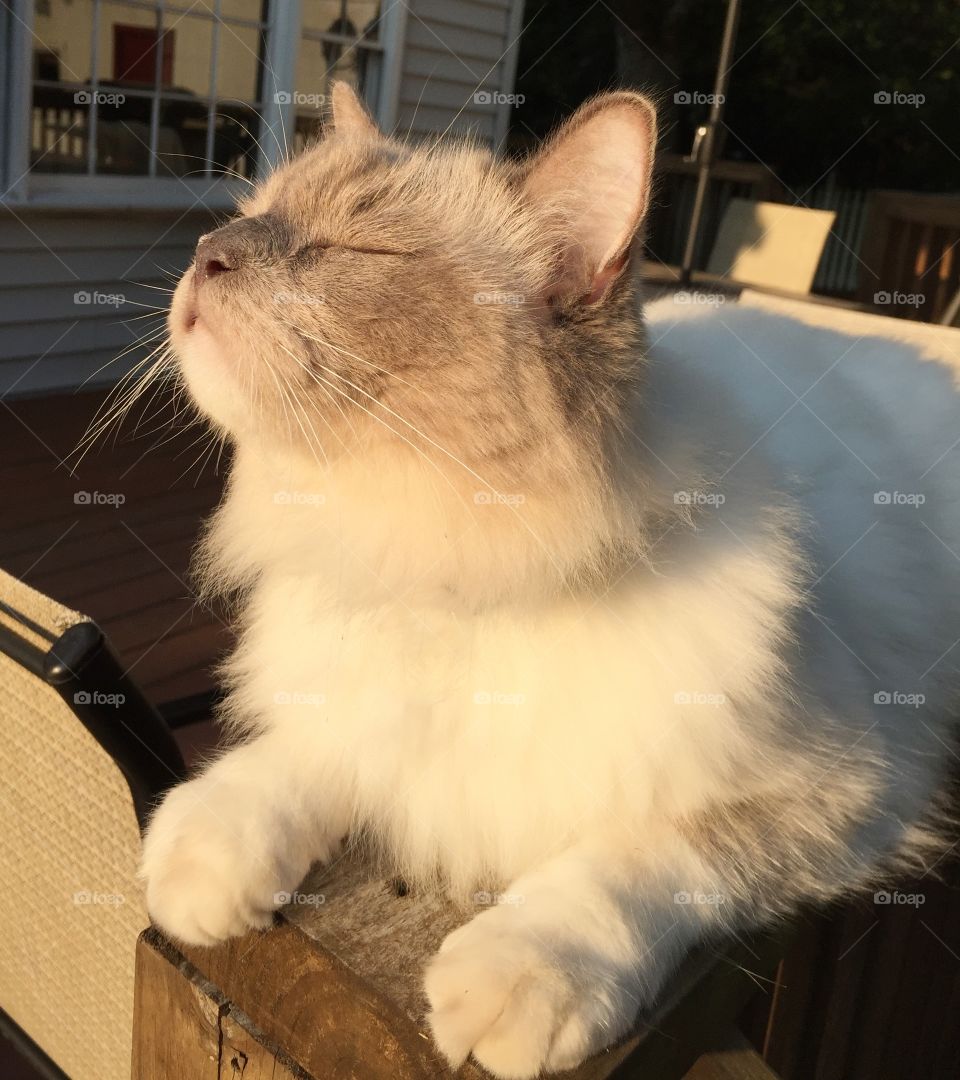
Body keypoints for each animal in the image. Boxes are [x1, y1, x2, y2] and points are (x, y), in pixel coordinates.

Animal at [140, 79, 958, 1075]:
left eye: (355, 250)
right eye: (250, 216)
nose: (206, 255)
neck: (447, 575)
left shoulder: (847, 792)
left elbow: (639, 862)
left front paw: (518, 980)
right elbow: (301, 759)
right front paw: (202, 862)